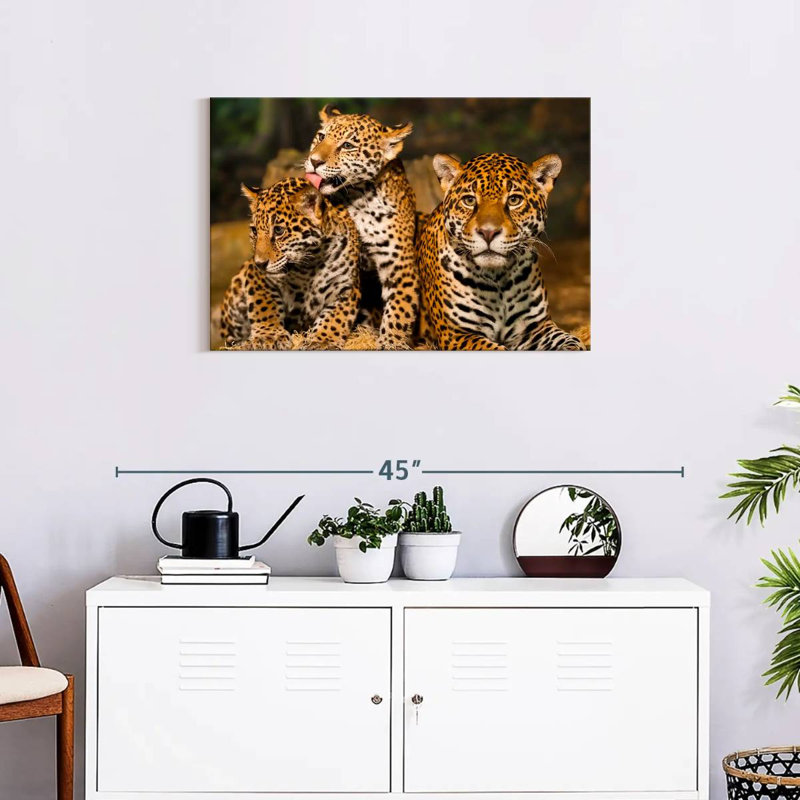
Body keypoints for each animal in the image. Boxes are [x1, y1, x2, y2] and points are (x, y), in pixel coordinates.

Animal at [220, 178, 361, 350]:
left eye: (279, 231)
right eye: (254, 231)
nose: (260, 263)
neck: (310, 264)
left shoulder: (346, 287)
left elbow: (336, 317)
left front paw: (322, 340)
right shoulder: (257, 277)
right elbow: (264, 305)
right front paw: (269, 336)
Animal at [304, 105, 419, 350]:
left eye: (348, 145)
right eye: (321, 137)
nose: (314, 161)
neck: (360, 199)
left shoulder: (400, 265)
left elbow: (400, 310)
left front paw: (391, 342)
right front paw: (321, 339)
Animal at [417, 152, 585, 351]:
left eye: (514, 200)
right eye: (469, 200)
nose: (488, 232)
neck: (498, 279)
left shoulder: (536, 327)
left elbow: (570, 340)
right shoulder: (456, 335)